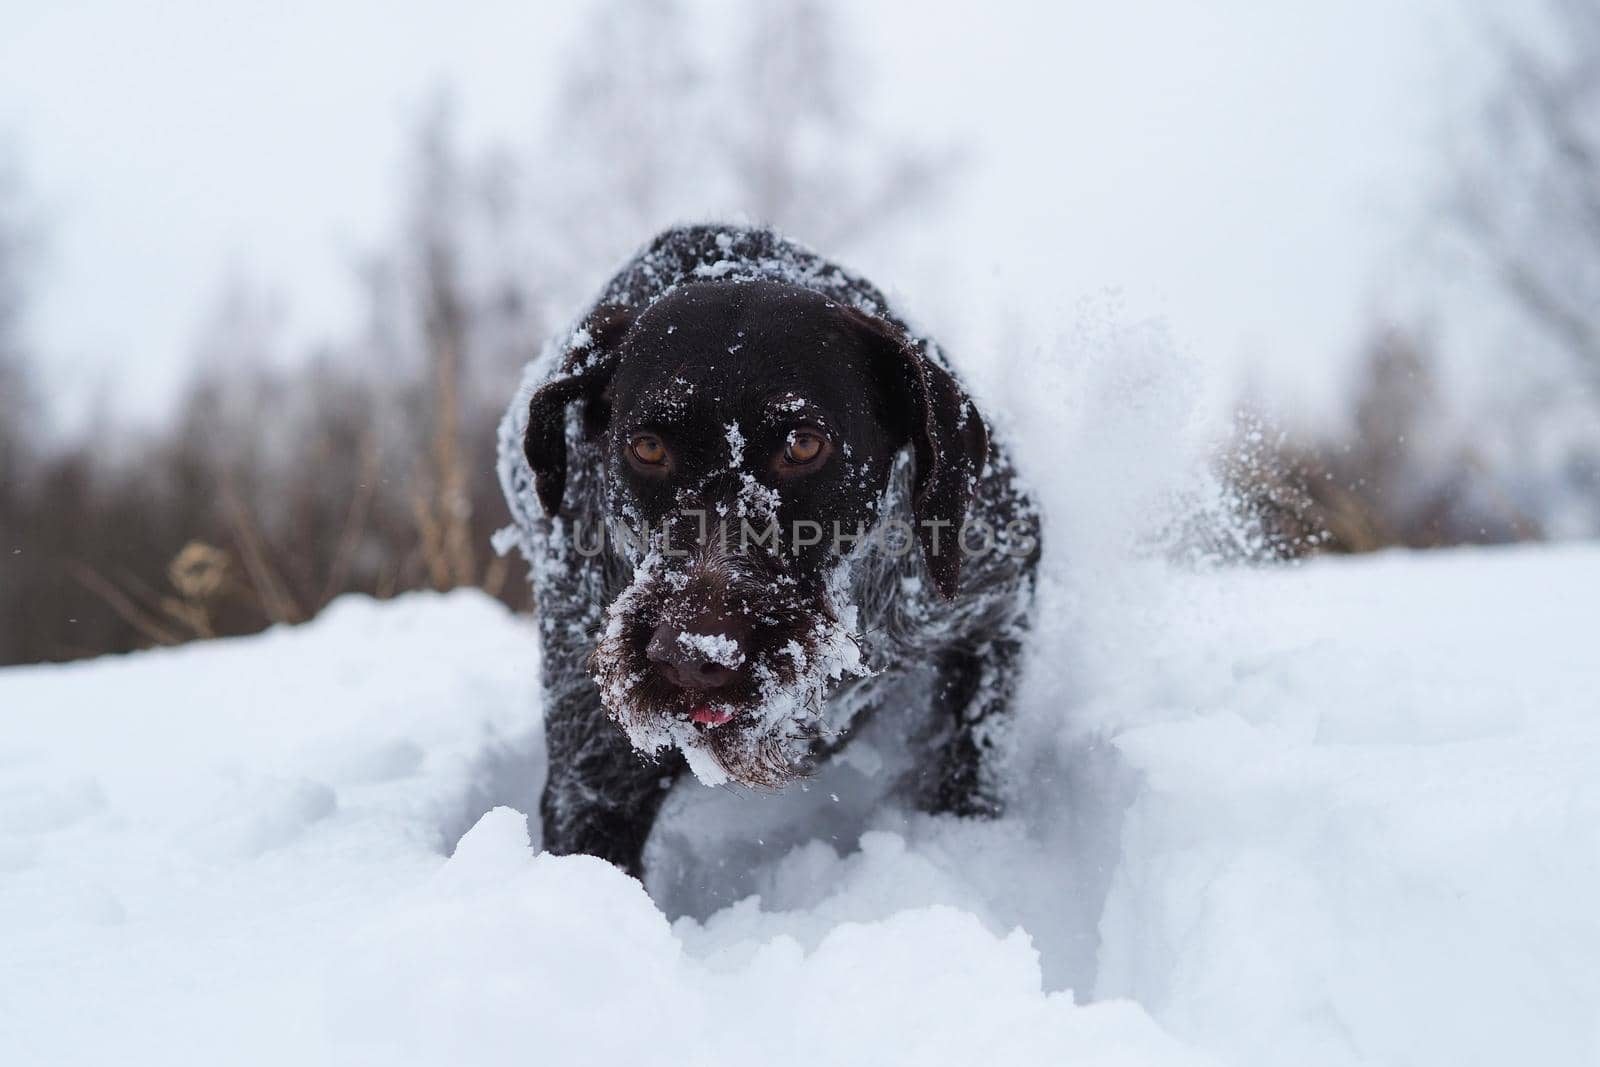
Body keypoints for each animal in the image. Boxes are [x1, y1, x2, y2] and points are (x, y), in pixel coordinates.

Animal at [496, 225, 1036, 876]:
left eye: (803, 444)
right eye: (647, 447)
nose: (692, 656)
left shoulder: (1000, 595)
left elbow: (974, 748)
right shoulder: (594, 778)